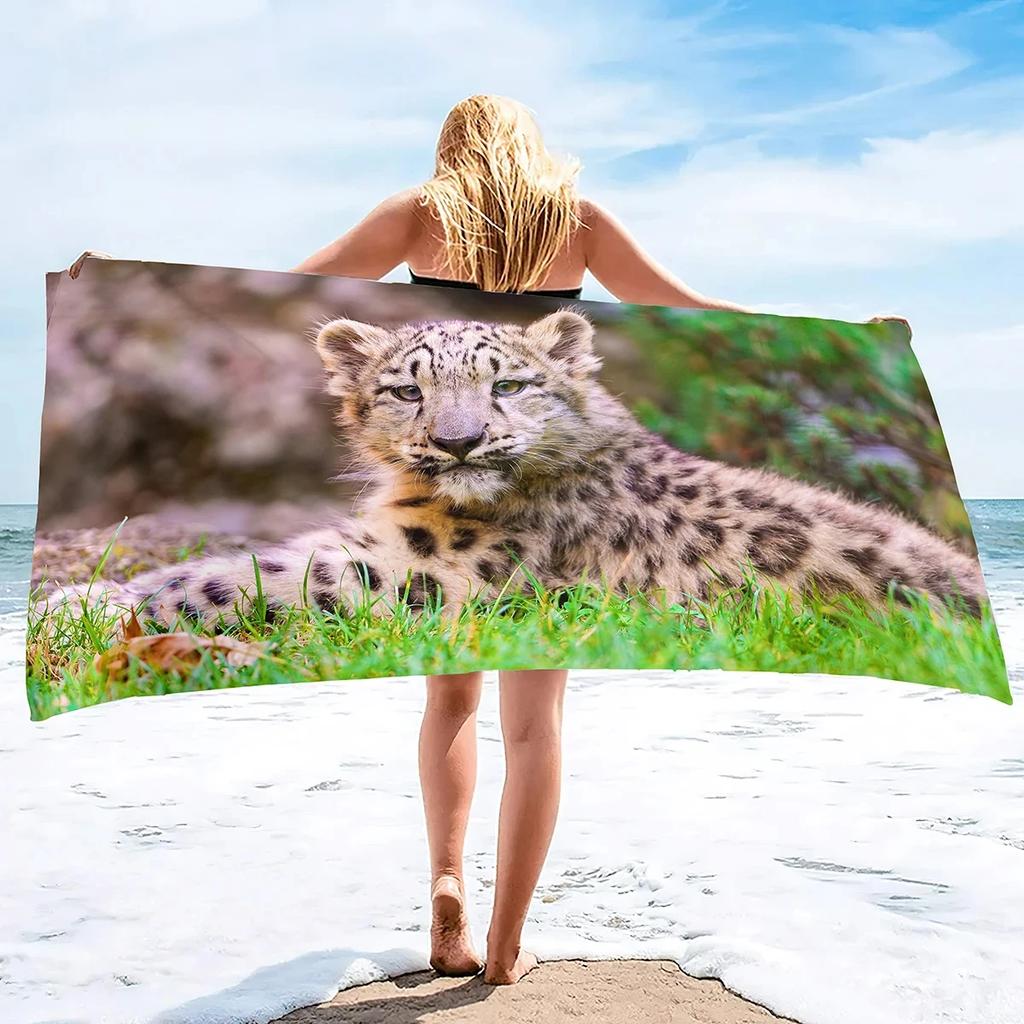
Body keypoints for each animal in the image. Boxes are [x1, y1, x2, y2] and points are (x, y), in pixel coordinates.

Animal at [43, 310, 987, 628]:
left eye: (507, 384)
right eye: (405, 390)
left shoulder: (421, 566)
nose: (460, 442)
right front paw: (83, 592)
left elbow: (249, 571)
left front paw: (81, 605)